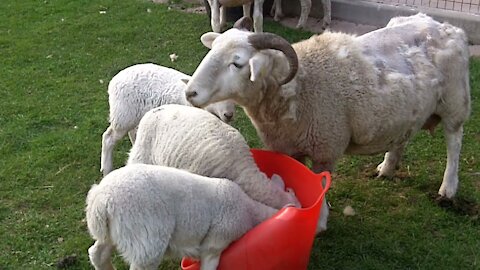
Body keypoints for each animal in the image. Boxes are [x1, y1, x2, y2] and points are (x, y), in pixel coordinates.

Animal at [86, 163, 282, 268]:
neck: (249, 210)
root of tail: (101, 199)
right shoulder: (215, 242)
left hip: (115, 232)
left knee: (97, 253)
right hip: (145, 237)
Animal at [185, 13, 472, 232]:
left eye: (237, 63)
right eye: (213, 50)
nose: (191, 93)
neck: (298, 88)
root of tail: (445, 26)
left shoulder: (326, 146)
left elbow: (321, 183)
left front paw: (320, 221)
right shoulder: (288, 146)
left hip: (454, 103)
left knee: (454, 142)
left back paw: (448, 188)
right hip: (407, 109)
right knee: (403, 135)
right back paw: (387, 168)